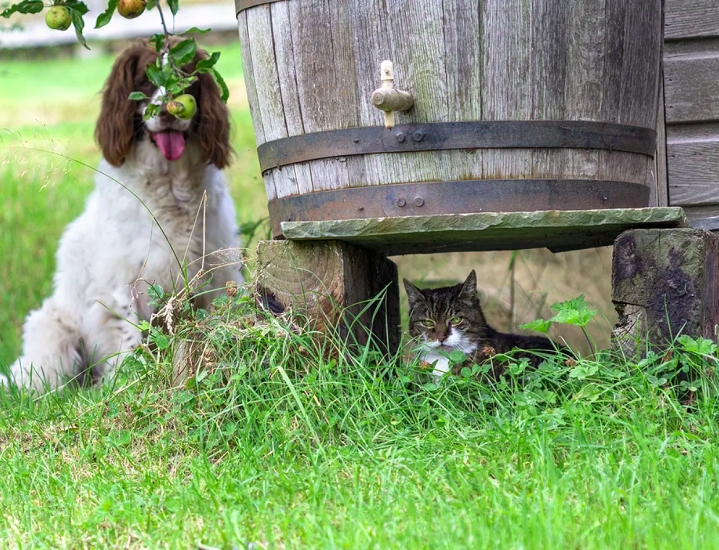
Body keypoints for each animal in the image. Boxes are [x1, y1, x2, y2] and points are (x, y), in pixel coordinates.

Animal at [0, 37, 245, 392]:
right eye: (145, 79)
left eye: (186, 77)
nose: (168, 109)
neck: (170, 188)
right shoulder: (120, 283)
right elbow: (129, 339)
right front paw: (130, 379)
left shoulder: (216, 268)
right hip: (52, 339)